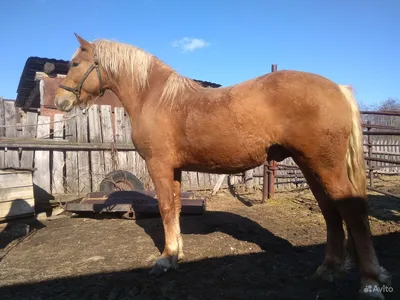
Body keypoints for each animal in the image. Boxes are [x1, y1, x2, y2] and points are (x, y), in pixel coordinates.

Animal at [53, 33, 390, 300]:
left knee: (352, 211)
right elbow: (175, 208)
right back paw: (328, 269)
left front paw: (165, 260)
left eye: (74, 64)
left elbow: (165, 208)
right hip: (311, 166)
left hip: (325, 166)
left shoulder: (159, 166)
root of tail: (338, 88)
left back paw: (369, 282)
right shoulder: (174, 169)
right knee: (330, 210)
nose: (59, 101)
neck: (156, 97)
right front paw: (176, 255)